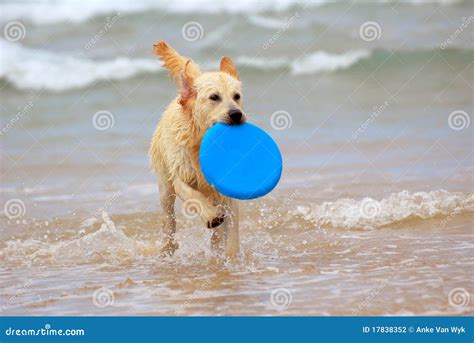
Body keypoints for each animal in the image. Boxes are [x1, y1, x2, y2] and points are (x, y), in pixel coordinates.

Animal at [149, 41, 246, 258]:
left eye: (236, 96)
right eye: (214, 97)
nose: (237, 114)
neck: (202, 143)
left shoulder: (228, 190)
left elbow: (232, 232)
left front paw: (232, 257)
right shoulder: (180, 174)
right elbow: (193, 196)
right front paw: (211, 216)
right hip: (164, 188)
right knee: (168, 220)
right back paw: (167, 249)